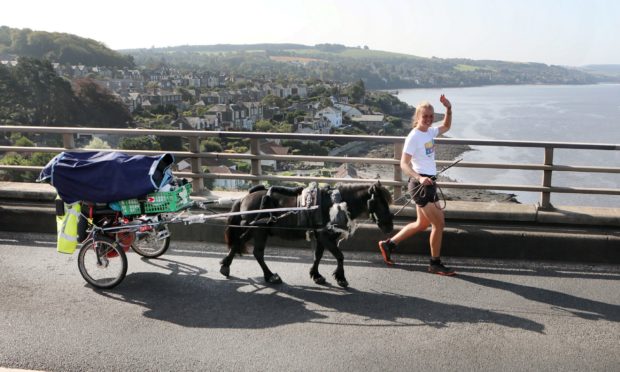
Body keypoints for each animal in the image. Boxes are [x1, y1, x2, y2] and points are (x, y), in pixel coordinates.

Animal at [220, 181, 392, 288]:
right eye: (378, 201)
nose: (389, 226)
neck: (335, 204)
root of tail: (244, 198)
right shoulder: (325, 236)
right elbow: (339, 256)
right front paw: (341, 278)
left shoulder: (322, 237)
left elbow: (318, 256)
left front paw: (316, 275)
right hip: (258, 230)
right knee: (254, 250)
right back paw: (266, 275)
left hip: (257, 230)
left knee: (246, 246)